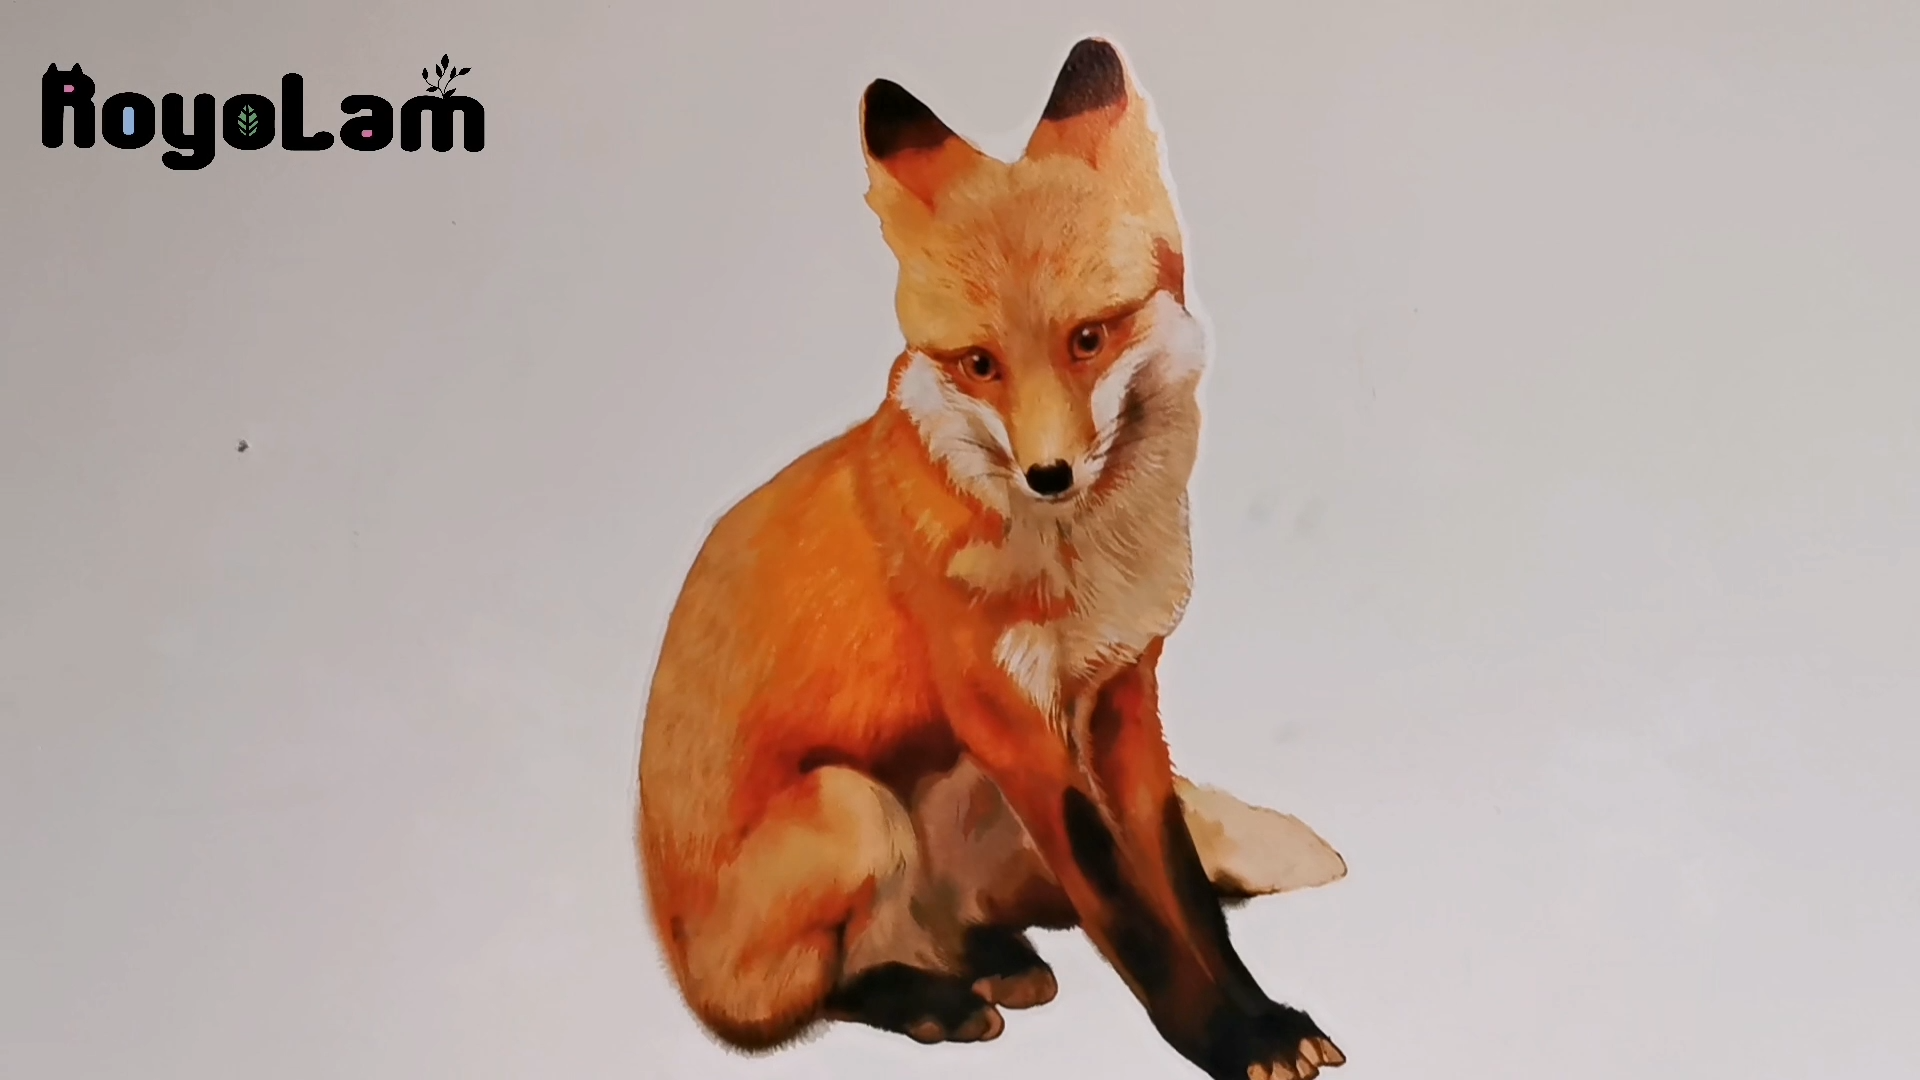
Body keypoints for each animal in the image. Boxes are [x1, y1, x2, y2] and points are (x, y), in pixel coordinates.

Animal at [635, 38, 1348, 1080]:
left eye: (1088, 339)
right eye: (980, 364)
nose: (1049, 474)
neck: (1086, 570)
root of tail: (676, 961)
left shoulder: (1124, 700)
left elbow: (1182, 889)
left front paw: (1258, 1016)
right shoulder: (1008, 719)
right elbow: (1127, 914)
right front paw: (1220, 1040)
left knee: (942, 930)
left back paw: (985, 961)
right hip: (852, 810)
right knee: (801, 1003)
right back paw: (927, 1001)